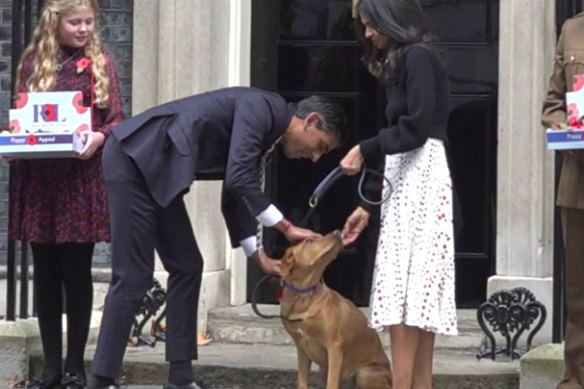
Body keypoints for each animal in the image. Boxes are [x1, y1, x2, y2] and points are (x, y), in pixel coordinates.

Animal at [280, 230, 392, 388]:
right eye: (309, 241)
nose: (337, 232)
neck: (304, 297)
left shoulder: (334, 346)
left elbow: (331, 383)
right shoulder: (301, 347)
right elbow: (302, 382)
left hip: (364, 373)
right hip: (324, 369)